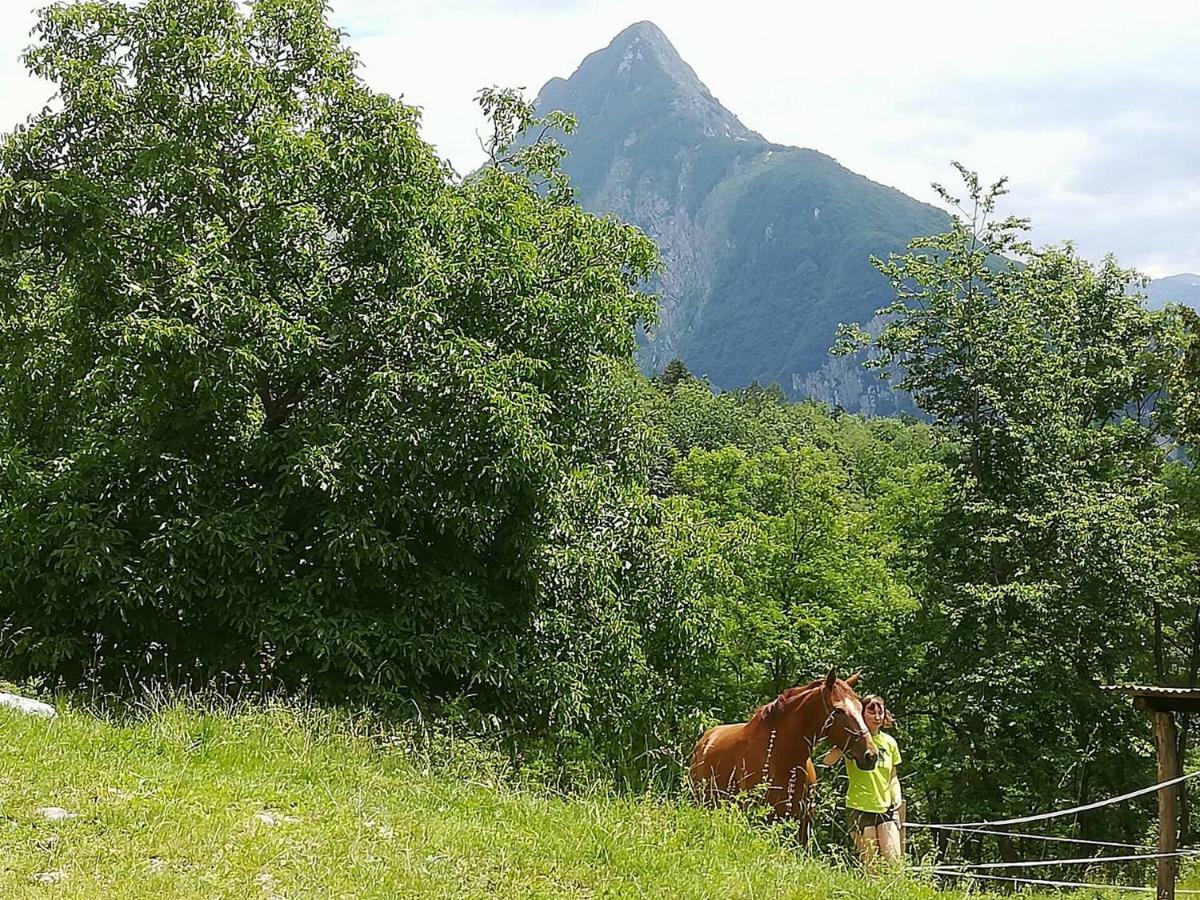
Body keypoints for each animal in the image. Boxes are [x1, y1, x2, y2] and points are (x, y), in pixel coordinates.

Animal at [691, 672, 878, 840]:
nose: (871, 755)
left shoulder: (802, 824)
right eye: (838, 710)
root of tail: (705, 739)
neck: (781, 758)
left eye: (860, 708)